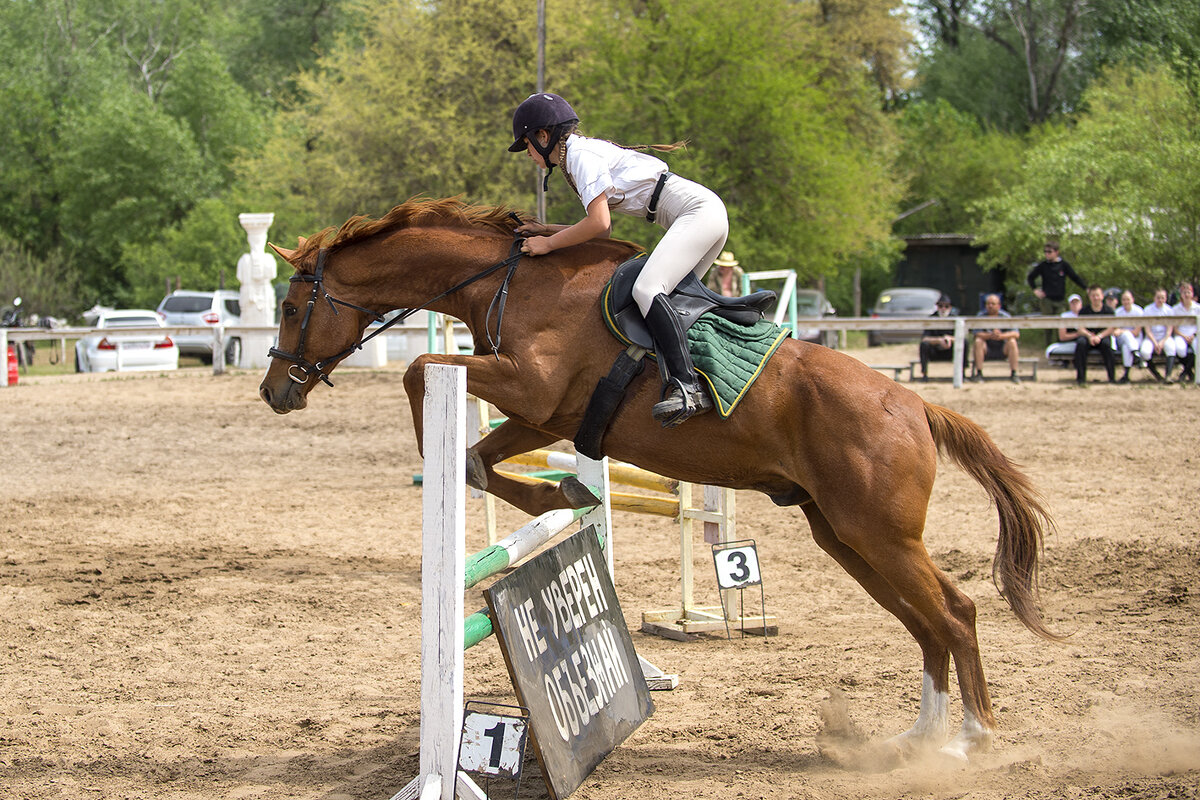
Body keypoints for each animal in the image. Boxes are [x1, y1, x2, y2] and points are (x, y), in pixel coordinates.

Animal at [258, 196, 1056, 762]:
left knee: (955, 614)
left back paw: (971, 741)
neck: (510, 283)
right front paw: (557, 492)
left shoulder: (530, 388)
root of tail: (918, 404)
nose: (274, 393)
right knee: (926, 625)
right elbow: (494, 456)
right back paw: (916, 740)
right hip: (845, 536)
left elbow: (420, 373)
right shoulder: (547, 416)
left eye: (293, 307)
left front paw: (494, 475)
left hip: (879, 534)